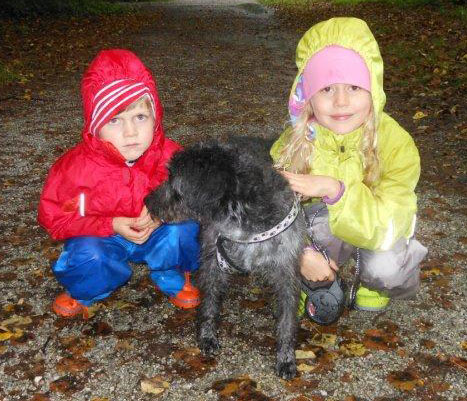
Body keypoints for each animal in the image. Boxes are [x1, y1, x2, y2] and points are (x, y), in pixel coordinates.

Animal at [145, 136, 306, 379]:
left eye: (175, 185)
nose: (147, 202)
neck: (245, 224)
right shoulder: (213, 261)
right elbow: (210, 303)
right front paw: (207, 336)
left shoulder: (287, 272)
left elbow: (287, 320)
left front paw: (286, 358)